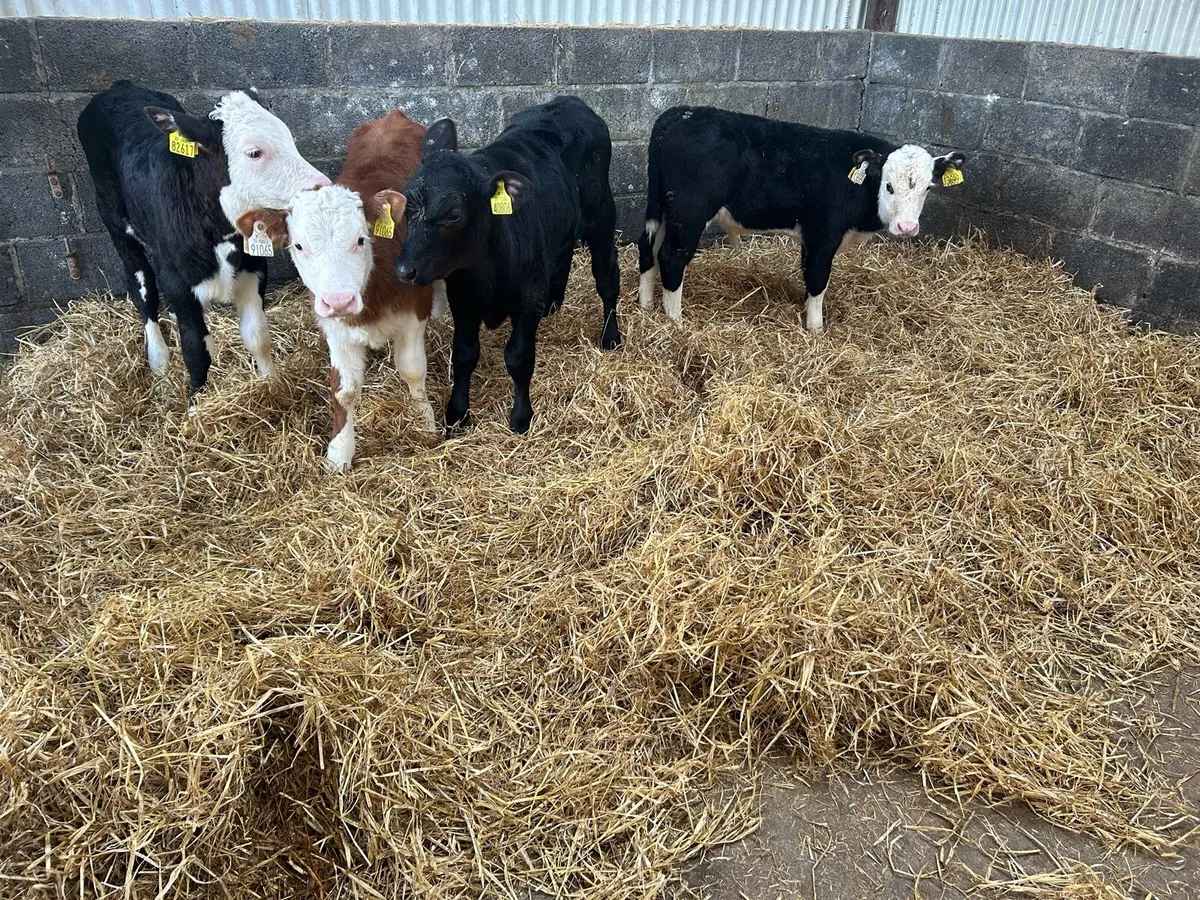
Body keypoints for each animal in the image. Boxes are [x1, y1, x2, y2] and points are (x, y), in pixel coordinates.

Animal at [77, 80, 330, 397]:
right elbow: (195, 351)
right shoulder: (176, 280)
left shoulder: (254, 268)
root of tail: (119, 87)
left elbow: (258, 336)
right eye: (254, 153)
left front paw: (271, 385)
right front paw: (195, 403)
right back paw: (158, 358)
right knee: (142, 289)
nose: (322, 186)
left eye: (289, 138)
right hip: (115, 222)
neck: (218, 231)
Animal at [235, 110, 437, 472]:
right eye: (298, 246)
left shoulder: (416, 310)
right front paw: (340, 451)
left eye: (360, 239)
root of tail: (394, 116)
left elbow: (413, 369)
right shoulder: (334, 325)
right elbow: (344, 388)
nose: (340, 300)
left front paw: (425, 423)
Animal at [393, 95, 622, 437]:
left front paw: (521, 417)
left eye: (454, 214)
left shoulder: (527, 299)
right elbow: (464, 354)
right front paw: (457, 415)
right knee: (562, 256)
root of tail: (570, 101)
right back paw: (553, 304)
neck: (485, 271)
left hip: (602, 214)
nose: (405, 270)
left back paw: (611, 336)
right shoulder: (463, 299)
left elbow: (518, 357)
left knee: (607, 277)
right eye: (407, 204)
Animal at [636, 106, 966, 331]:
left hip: (664, 209)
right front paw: (816, 326)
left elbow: (808, 274)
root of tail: (681, 114)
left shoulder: (811, 236)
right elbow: (818, 278)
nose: (907, 227)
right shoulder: (824, 233)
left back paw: (645, 303)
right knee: (671, 255)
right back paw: (674, 317)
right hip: (689, 213)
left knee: (648, 247)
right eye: (888, 186)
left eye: (927, 188)